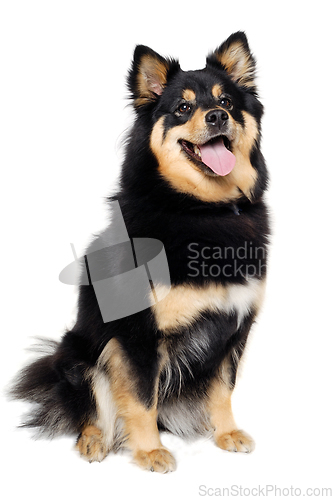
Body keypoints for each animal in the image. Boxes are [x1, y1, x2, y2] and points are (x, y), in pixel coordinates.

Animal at [11, 32, 270, 472]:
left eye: (228, 101)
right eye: (183, 107)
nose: (218, 116)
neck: (202, 209)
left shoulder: (234, 328)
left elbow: (223, 389)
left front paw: (226, 433)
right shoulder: (136, 336)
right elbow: (140, 399)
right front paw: (150, 451)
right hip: (81, 355)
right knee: (91, 407)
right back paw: (93, 441)